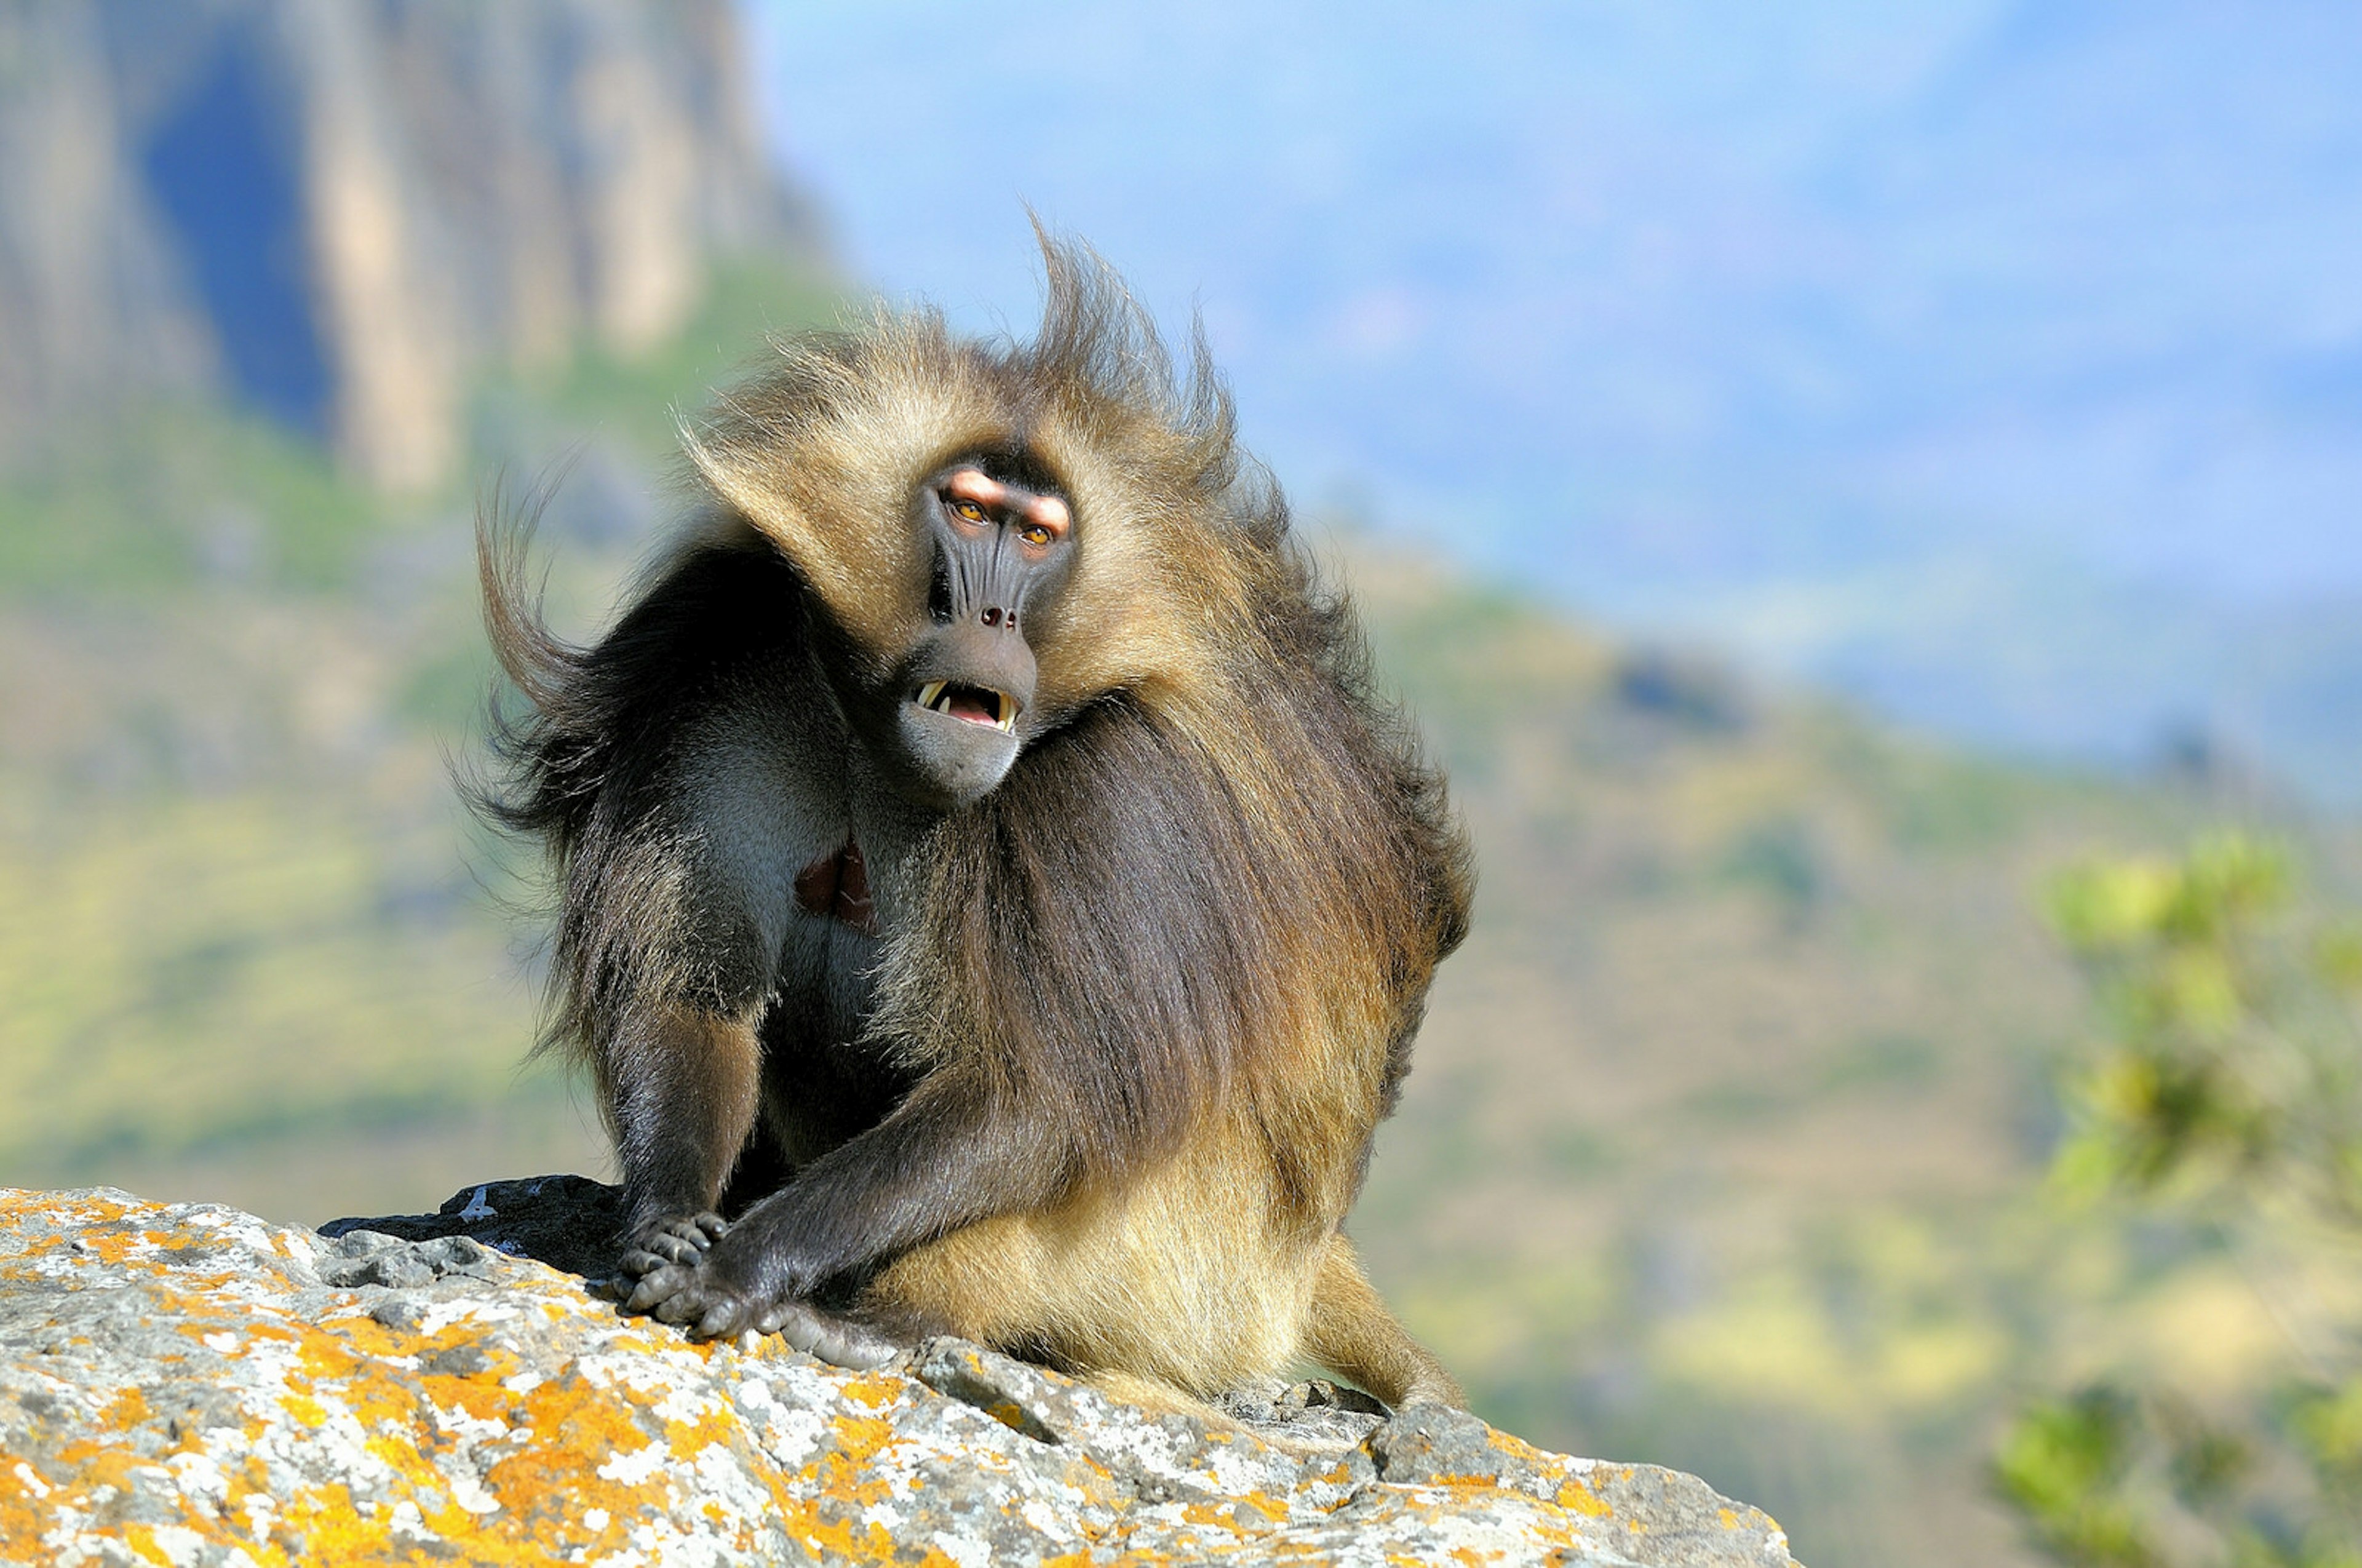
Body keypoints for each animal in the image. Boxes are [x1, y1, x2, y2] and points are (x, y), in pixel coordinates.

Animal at [474, 242, 1474, 1407]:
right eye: (966, 511)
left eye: (1037, 536)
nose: (991, 616)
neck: (876, 744)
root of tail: (1311, 1263)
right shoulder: (718, 661)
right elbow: (692, 994)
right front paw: (670, 1224)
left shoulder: (1113, 792)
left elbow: (1036, 1097)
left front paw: (743, 1264)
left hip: (1211, 1271)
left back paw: (884, 1325)